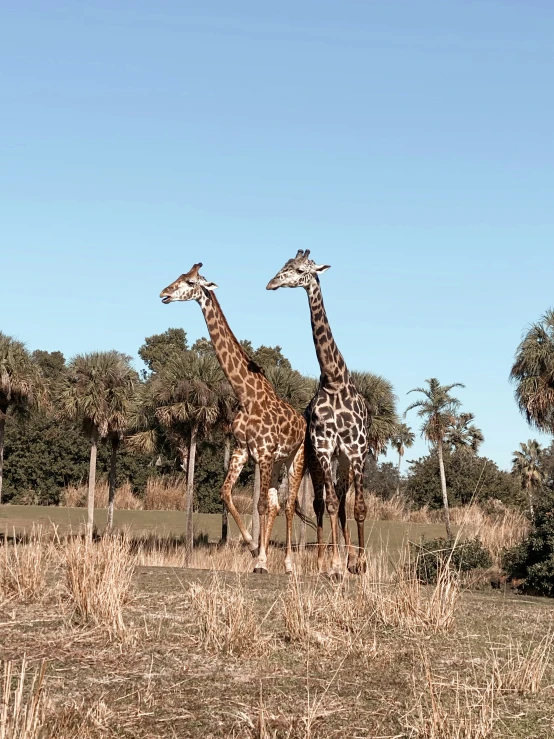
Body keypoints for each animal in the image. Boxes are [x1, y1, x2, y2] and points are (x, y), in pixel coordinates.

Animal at [160, 264, 306, 576]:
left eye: (190, 282)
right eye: (179, 276)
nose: (164, 293)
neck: (246, 394)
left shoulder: (263, 452)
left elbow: (260, 505)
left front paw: (261, 560)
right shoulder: (242, 450)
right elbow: (225, 493)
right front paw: (253, 549)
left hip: (295, 458)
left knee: (288, 505)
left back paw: (289, 564)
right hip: (276, 462)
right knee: (276, 504)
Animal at [266, 250, 368, 580]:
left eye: (300, 270)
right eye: (284, 267)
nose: (272, 283)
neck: (335, 380)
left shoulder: (356, 450)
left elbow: (358, 507)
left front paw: (360, 563)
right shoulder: (323, 448)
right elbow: (331, 504)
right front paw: (336, 565)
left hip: (344, 461)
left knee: (343, 503)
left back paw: (350, 559)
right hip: (315, 459)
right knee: (322, 503)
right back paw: (326, 562)